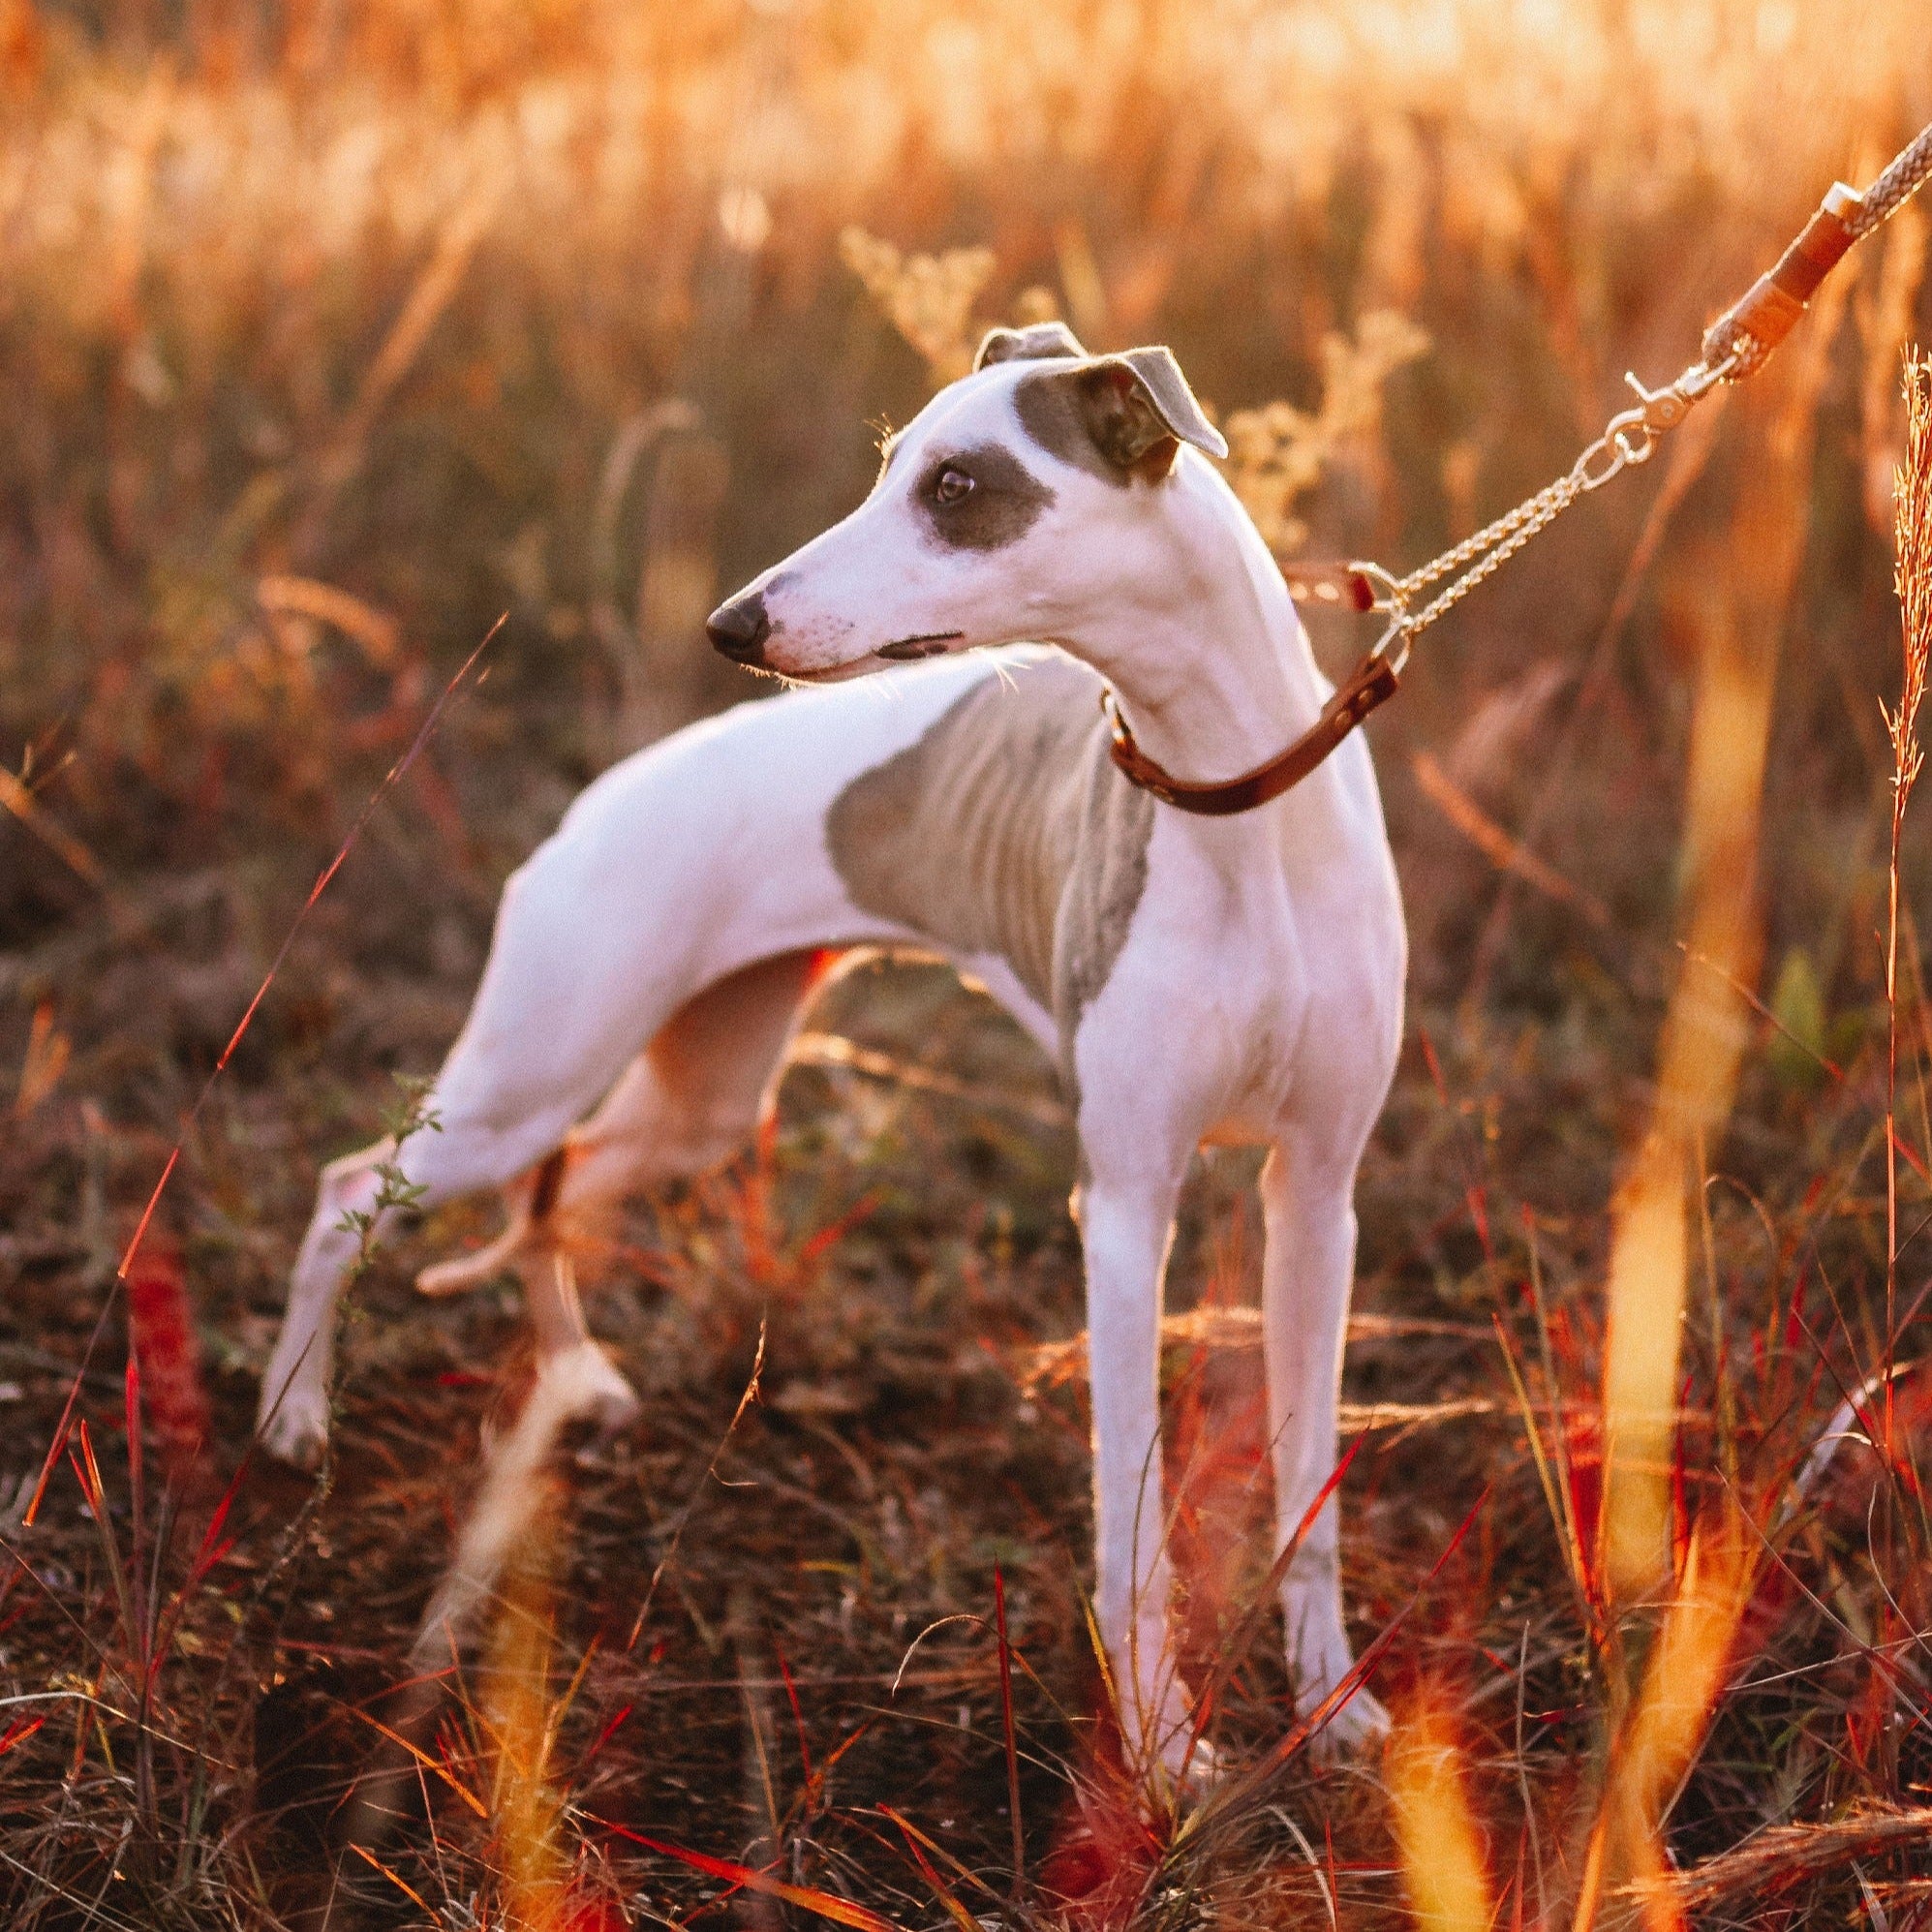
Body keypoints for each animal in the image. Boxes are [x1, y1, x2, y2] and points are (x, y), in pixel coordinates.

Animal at [257, 321, 1406, 1777]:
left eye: (958, 486)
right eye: (893, 462)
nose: (730, 624)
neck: (1236, 806)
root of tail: (599, 796)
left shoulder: (1315, 1194)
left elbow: (1311, 1486)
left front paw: (1332, 1706)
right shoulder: (1123, 1202)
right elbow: (1132, 1520)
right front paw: (1157, 1747)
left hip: (697, 1091)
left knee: (559, 1189)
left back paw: (575, 1375)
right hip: (533, 1070)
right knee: (352, 1184)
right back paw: (292, 1415)